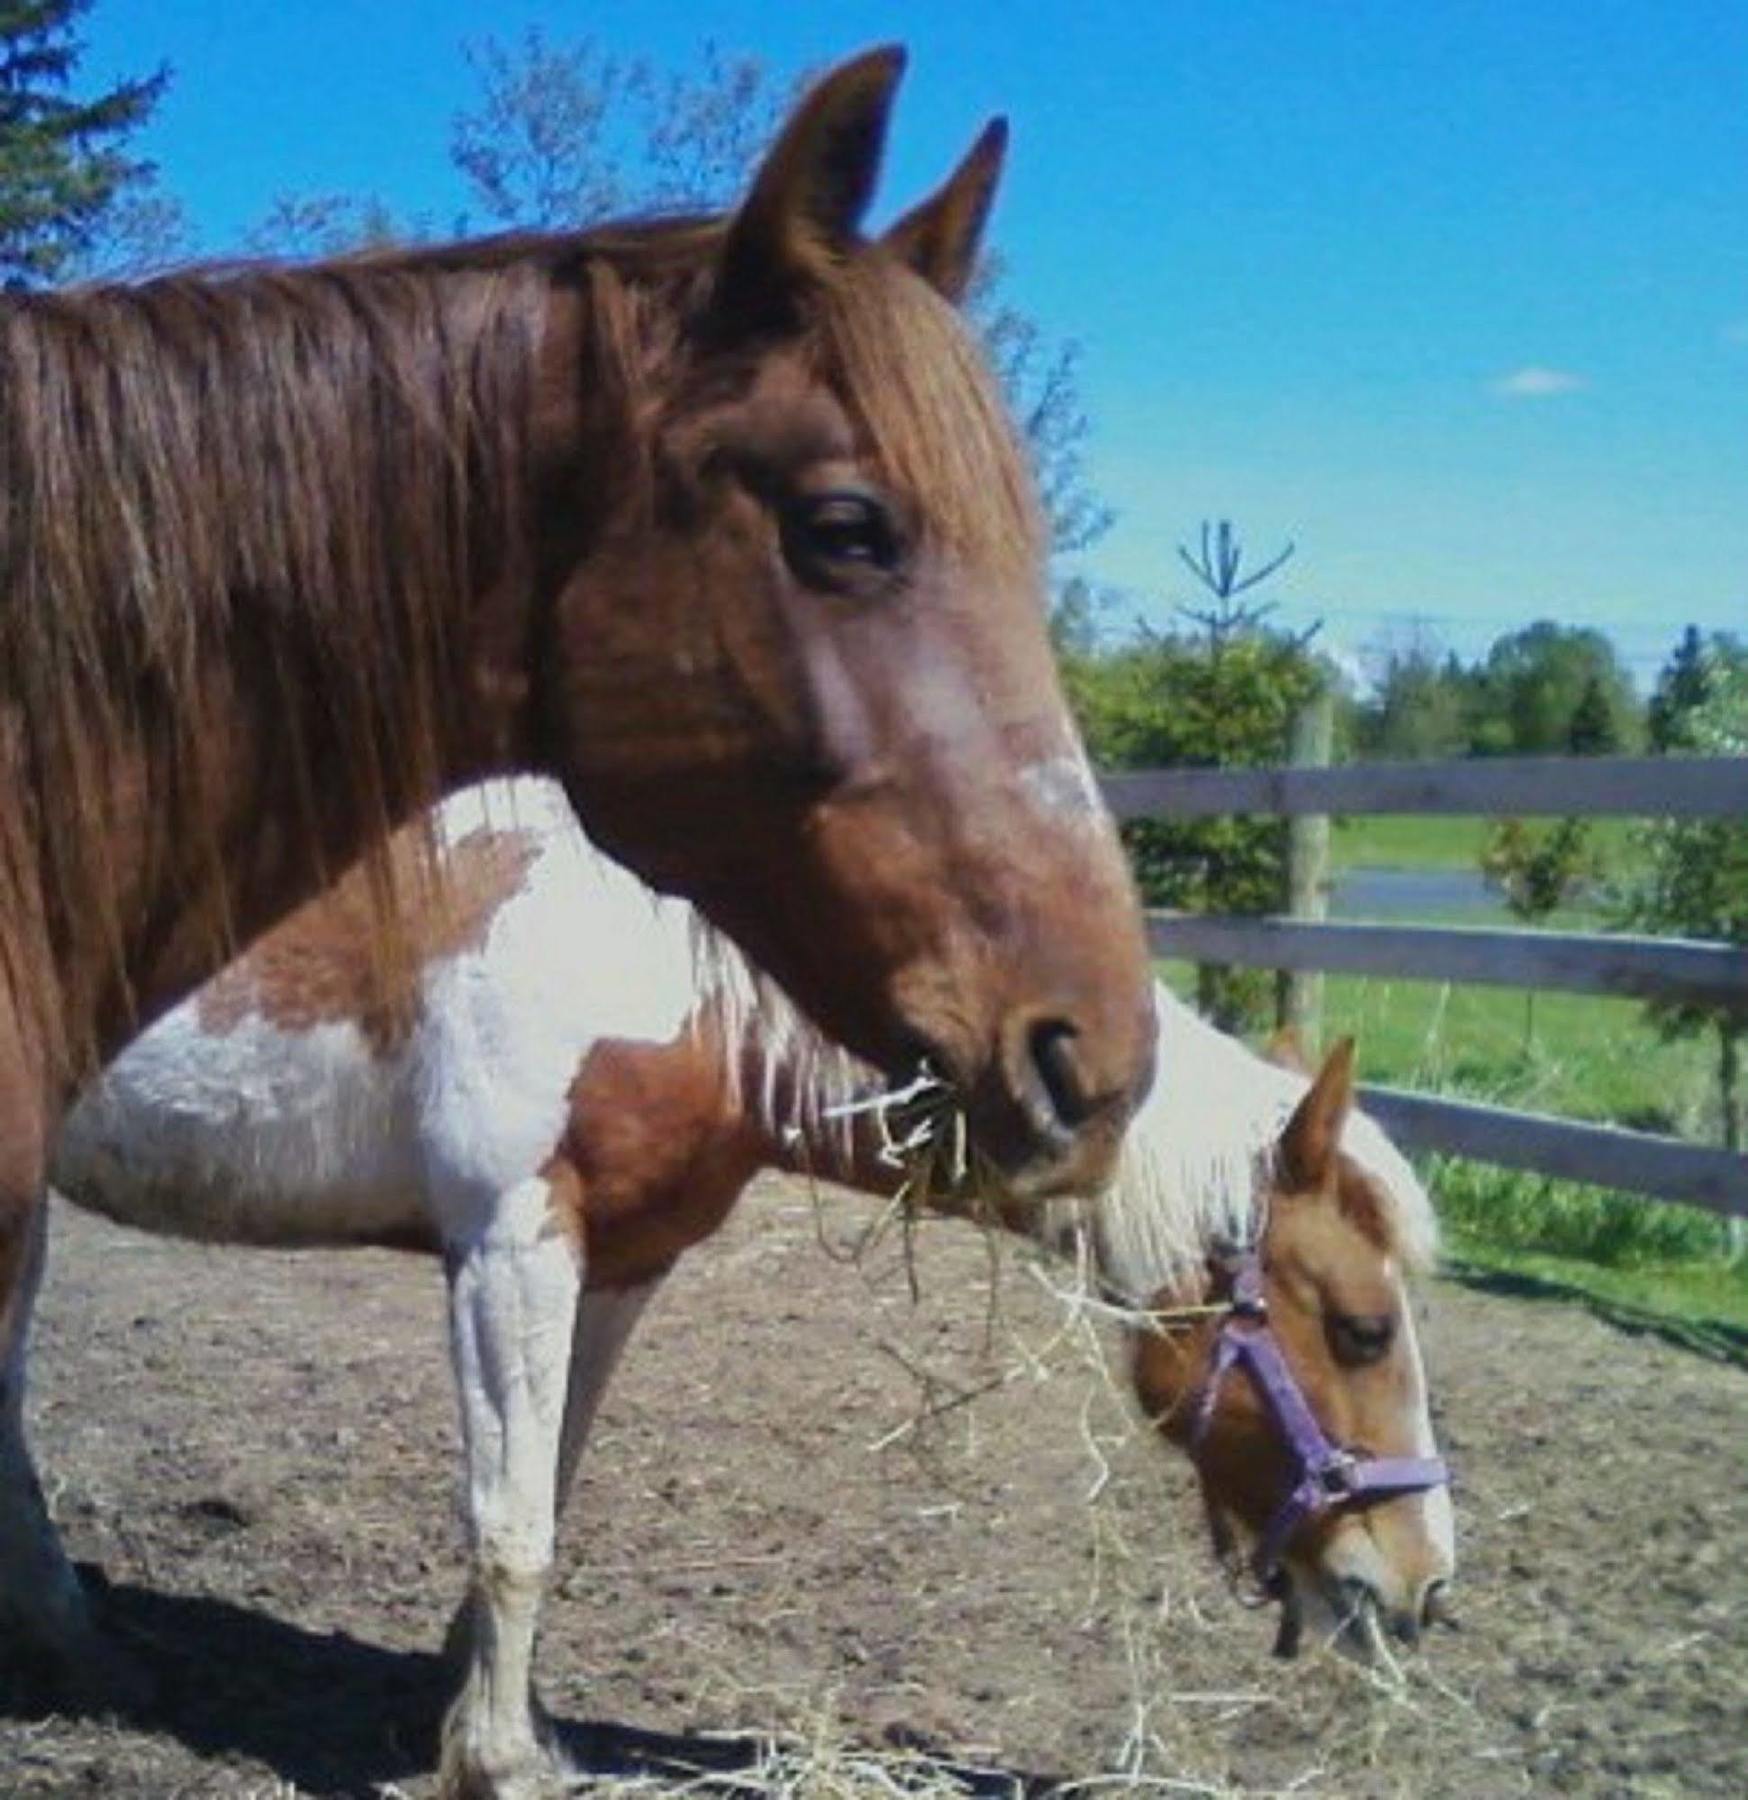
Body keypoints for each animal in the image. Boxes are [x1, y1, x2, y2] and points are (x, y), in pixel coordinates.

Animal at [51, 784, 1447, 1800]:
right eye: (1361, 1328)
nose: (1421, 1585)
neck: (668, 966)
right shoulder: (510, 1242)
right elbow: (511, 1523)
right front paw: (497, 1761)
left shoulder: (618, 1263)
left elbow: (551, 1486)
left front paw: (491, 1707)